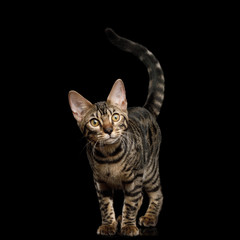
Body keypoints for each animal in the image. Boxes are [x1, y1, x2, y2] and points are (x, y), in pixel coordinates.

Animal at [68, 28, 164, 236]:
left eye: (115, 117)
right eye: (95, 122)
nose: (109, 130)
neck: (109, 157)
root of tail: (145, 108)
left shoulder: (135, 178)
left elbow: (130, 203)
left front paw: (128, 225)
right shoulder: (100, 182)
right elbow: (106, 206)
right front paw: (109, 224)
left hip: (150, 170)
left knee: (156, 194)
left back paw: (149, 217)